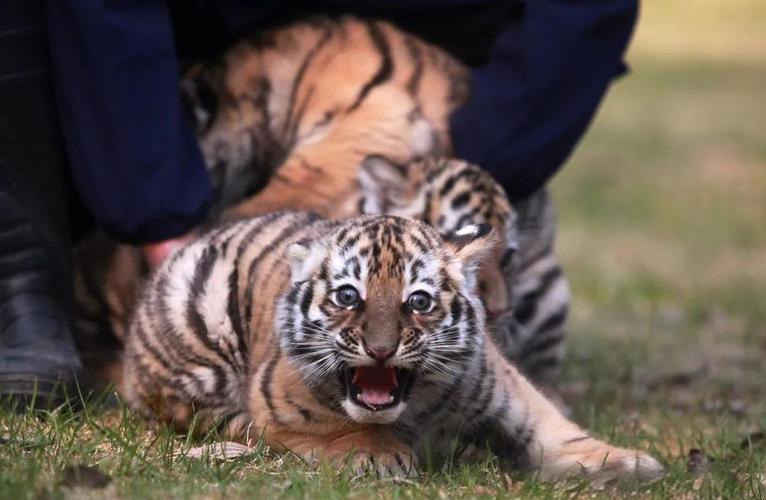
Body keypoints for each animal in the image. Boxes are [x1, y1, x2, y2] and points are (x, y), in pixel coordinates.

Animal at [123, 211, 662, 481]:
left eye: (418, 301)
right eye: (348, 296)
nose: (380, 350)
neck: (416, 408)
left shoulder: (500, 382)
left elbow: (552, 427)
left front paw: (627, 463)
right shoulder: (279, 405)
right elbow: (340, 428)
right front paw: (378, 454)